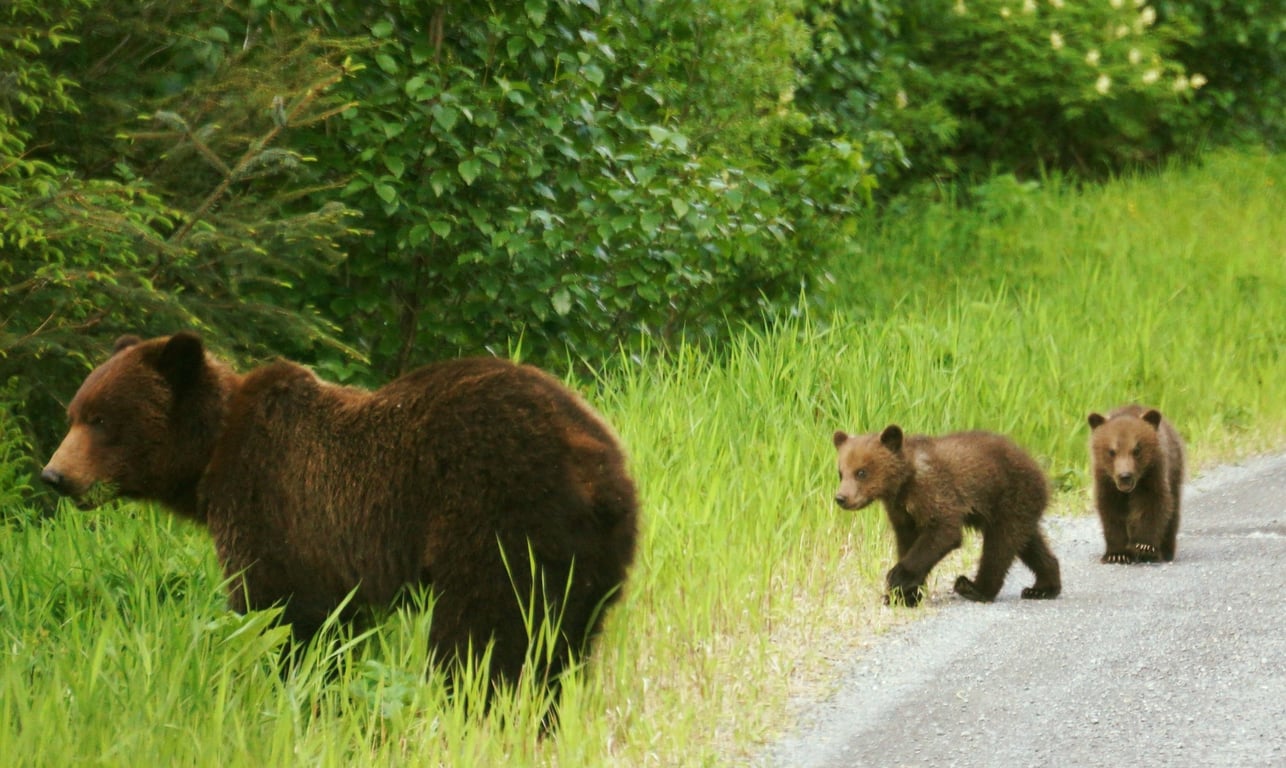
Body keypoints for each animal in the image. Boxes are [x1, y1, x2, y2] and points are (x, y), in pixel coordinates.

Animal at [40, 332, 639, 700]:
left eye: (101, 419)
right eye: (74, 414)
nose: (54, 475)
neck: (209, 460)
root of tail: (600, 466)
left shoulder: (273, 507)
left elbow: (283, 616)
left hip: (499, 518)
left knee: (484, 636)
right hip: (591, 559)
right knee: (561, 644)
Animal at [832, 425, 1061, 607]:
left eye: (861, 472)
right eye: (841, 473)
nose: (841, 498)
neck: (903, 484)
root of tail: (1039, 470)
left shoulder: (934, 491)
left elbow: (943, 532)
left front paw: (897, 577)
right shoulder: (902, 513)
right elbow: (906, 542)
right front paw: (905, 596)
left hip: (1010, 496)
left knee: (999, 546)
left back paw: (975, 588)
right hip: (1019, 508)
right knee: (1028, 542)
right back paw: (1043, 587)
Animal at [1087, 405, 1185, 563]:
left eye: (1137, 450)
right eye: (1112, 451)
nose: (1125, 476)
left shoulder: (1153, 475)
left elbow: (1154, 505)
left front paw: (1145, 547)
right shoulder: (1105, 481)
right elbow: (1110, 511)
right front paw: (1117, 554)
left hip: (1175, 468)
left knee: (1173, 509)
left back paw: (1166, 551)